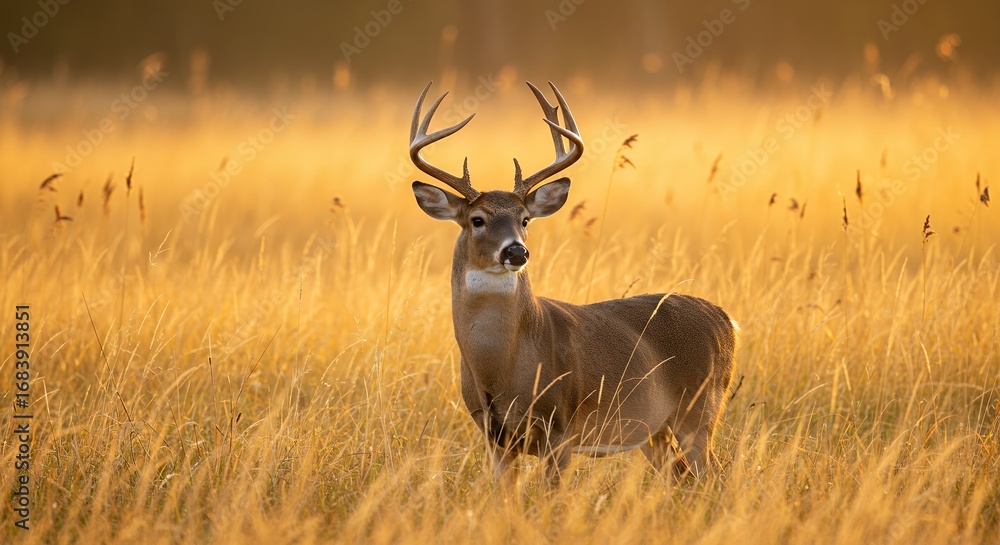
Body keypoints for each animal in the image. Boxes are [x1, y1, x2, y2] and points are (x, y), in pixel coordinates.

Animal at [409, 81, 739, 483]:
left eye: (525, 219)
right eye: (477, 219)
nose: (516, 251)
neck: (499, 368)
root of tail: (725, 319)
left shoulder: (560, 427)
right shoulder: (493, 438)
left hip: (702, 407)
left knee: (712, 472)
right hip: (654, 429)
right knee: (679, 474)